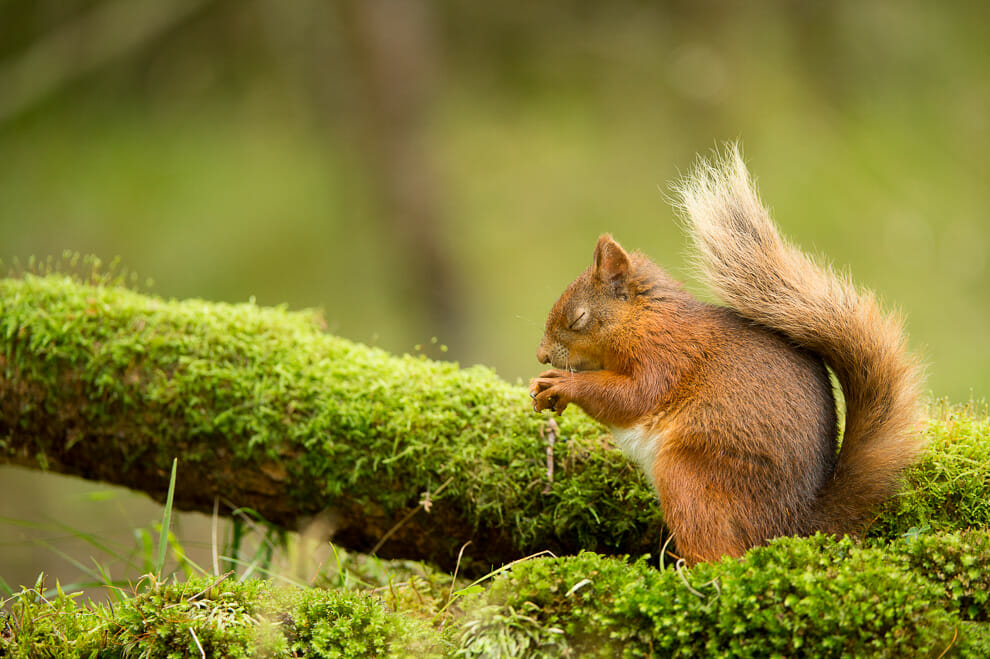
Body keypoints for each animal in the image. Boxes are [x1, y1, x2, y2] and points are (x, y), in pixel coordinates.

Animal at [532, 147, 928, 564]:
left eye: (578, 319)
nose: (541, 355)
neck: (646, 317)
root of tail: (794, 526)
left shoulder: (668, 355)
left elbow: (633, 397)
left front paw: (563, 385)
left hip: (691, 478)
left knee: (722, 554)